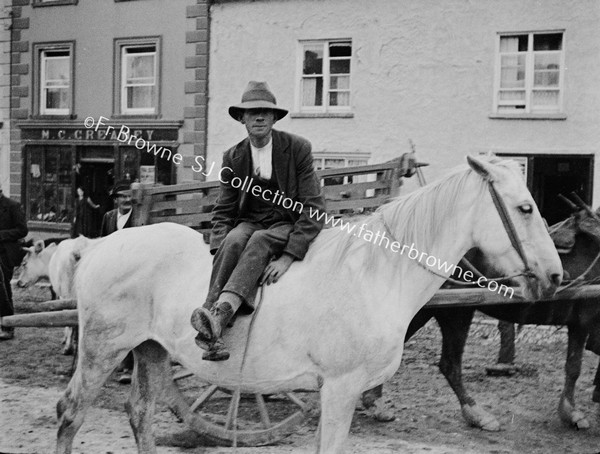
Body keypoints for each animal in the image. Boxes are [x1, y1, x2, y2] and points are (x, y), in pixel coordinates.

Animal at [55, 154, 564, 452]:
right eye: (524, 208)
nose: (556, 276)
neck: (374, 273)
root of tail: (99, 246)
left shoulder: (331, 391)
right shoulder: (340, 388)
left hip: (149, 350)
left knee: (139, 414)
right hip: (103, 349)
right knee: (70, 413)